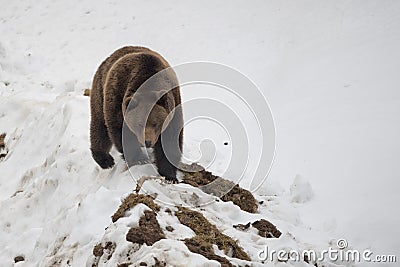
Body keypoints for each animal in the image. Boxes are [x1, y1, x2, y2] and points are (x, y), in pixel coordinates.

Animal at [89, 46, 183, 184]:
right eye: (139, 124)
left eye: (156, 124)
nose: (147, 142)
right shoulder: (117, 98)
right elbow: (121, 133)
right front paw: (139, 159)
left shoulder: (173, 106)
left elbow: (170, 140)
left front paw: (170, 176)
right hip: (100, 92)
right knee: (99, 126)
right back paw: (106, 160)